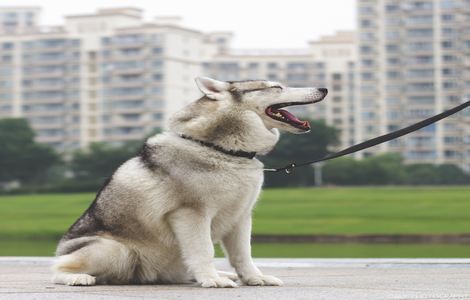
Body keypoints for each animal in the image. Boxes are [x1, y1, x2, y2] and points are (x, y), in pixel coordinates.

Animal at [52, 76, 326, 288]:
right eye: (276, 86)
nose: (323, 88)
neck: (224, 151)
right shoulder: (191, 214)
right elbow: (204, 250)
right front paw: (212, 280)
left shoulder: (241, 216)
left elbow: (243, 254)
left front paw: (253, 278)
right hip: (115, 250)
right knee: (57, 269)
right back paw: (77, 277)